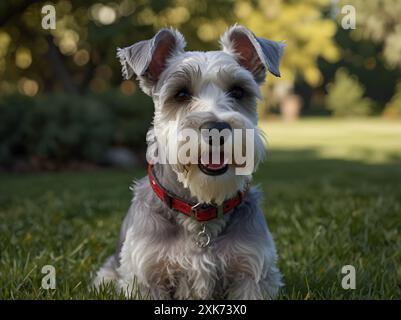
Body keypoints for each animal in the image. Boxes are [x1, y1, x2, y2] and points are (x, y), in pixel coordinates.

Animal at [94, 25, 284, 300]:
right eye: (181, 93)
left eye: (238, 91)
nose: (216, 129)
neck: (201, 212)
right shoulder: (147, 279)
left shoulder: (252, 275)